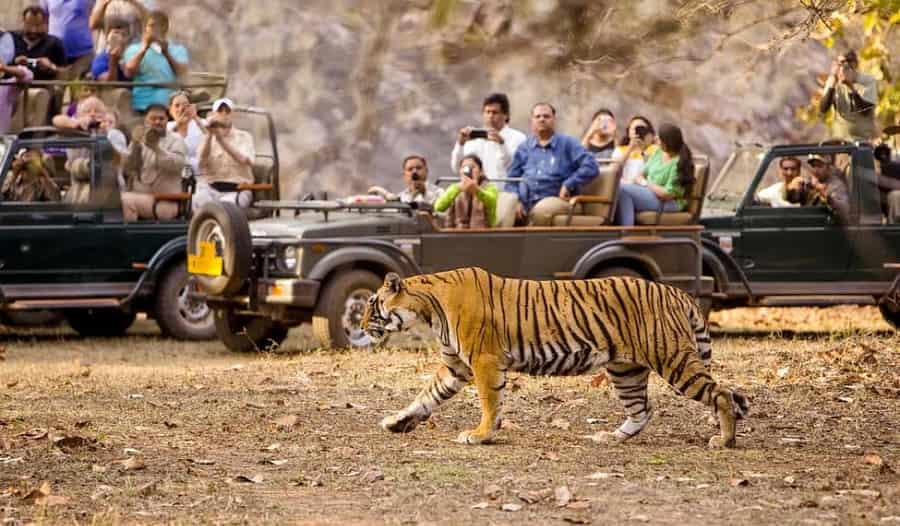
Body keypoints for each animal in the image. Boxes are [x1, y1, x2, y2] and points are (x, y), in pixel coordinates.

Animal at [361, 267, 749, 448]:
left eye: (372, 305)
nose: (362, 325)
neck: (428, 308)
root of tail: (677, 292)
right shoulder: (455, 367)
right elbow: (425, 396)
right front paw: (396, 422)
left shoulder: (483, 360)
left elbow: (489, 402)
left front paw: (481, 435)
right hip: (626, 369)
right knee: (642, 409)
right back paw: (611, 437)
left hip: (673, 359)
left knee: (721, 394)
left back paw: (724, 441)